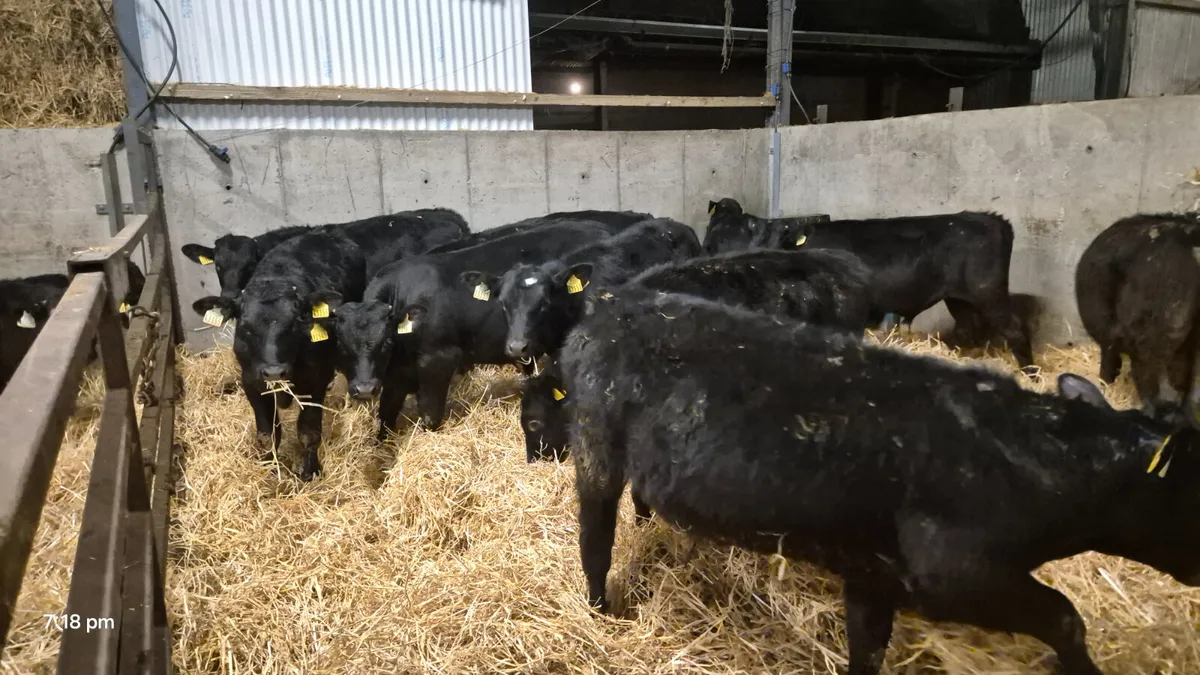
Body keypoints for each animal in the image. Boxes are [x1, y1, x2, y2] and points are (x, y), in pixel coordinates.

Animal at [192, 228, 366, 481]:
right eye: (245, 327)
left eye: (295, 323)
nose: (274, 372)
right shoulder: (251, 381)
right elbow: (267, 434)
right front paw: (270, 469)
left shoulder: (317, 380)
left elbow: (309, 430)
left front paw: (310, 471)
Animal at [332, 220, 619, 438]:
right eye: (343, 347)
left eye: (385, 342)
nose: (365, 389)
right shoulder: (396, 375)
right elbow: (386, 417)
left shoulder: (439, 359)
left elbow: (430, 415)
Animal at [559, 286, 1200, 675]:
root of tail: (612, 306)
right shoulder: (957, 575)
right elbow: (1066, 616)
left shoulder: (872, 569)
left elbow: (868, 647)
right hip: (595, 448)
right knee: (595, 537)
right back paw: (600, 610)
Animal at [708, 198, 1033, 369]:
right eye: (714, 229)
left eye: (738, 233)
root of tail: (992, 218)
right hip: (959, 298)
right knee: (966, 330)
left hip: (987, 292)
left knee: (1015, 329)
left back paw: (1030, 373)